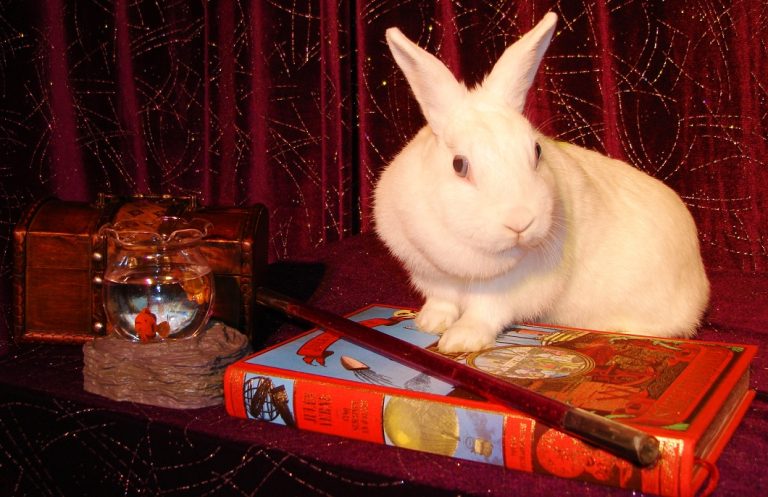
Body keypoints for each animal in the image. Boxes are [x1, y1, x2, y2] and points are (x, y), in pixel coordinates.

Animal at [373, 12, 710, 353]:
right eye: (459, 165)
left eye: (536, 151)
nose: (521, 222)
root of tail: (700, 279)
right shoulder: (433, 277)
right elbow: (440, 301)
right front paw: (428, 323)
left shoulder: (503, 293)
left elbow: (484, 314)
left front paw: (460, 341)